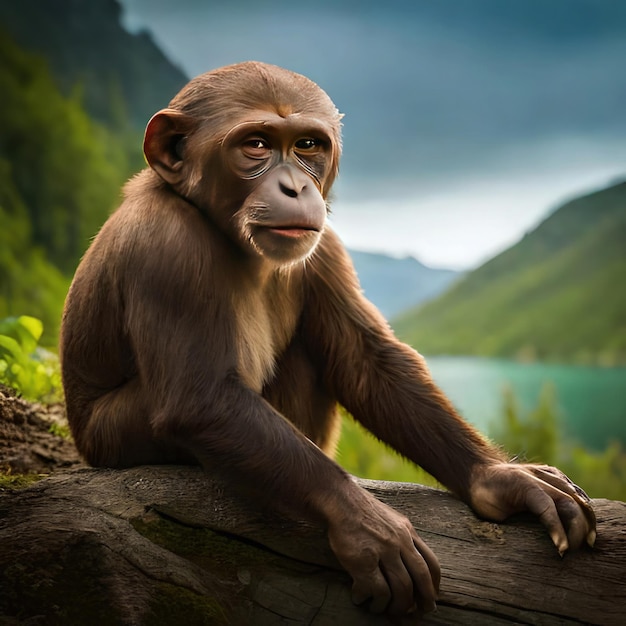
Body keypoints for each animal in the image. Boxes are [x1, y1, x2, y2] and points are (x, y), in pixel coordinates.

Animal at [59, 61, 596, 616]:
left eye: (307, 146)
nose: (296, 186)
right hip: (113, 437)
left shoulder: (325, 248)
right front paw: (364, 523)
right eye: (256, 144)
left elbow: (366, 360)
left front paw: (498, 478)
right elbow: (200, 399)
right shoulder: (167, 246)